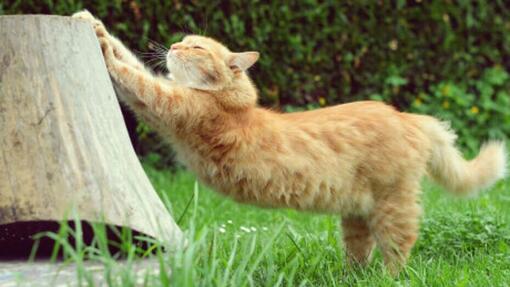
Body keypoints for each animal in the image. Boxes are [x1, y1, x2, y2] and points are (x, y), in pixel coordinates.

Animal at [73, 10, 508, 274]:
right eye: (183, 40)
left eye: (196, 46)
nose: (175, 46)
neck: (233, 103)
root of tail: (407, 116)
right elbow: (131, 59)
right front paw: (93, 23)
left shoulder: (167, 105)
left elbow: (131, 74)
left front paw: (96, 32)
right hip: (357, 215)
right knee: (360, 253)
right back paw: (351, 277)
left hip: (392, 206)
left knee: (399, 251)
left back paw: (388, 277)